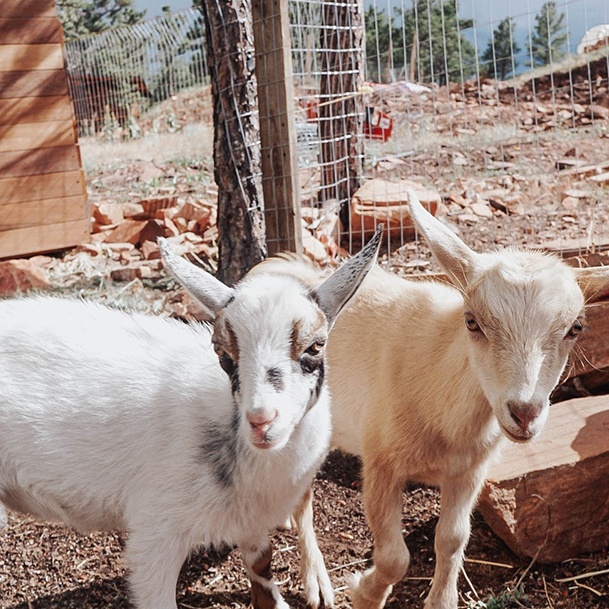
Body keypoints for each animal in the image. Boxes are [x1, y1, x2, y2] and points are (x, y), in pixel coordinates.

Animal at [0, 229, 380, 608]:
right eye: (222, 352)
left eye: (316, 346)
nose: (261, 420)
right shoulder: (156, 533)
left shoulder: (252, 523)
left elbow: (263, 574)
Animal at [254, 191, 608, 608]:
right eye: (472, 322)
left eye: (576, 327)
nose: (524, 413)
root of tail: (269, 264)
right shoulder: (382, 463)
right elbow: (394, 557)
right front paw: (363, 592)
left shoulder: (469, 473)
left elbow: (453, 539)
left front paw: (441, 597)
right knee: (303, 497)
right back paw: (317, 582)